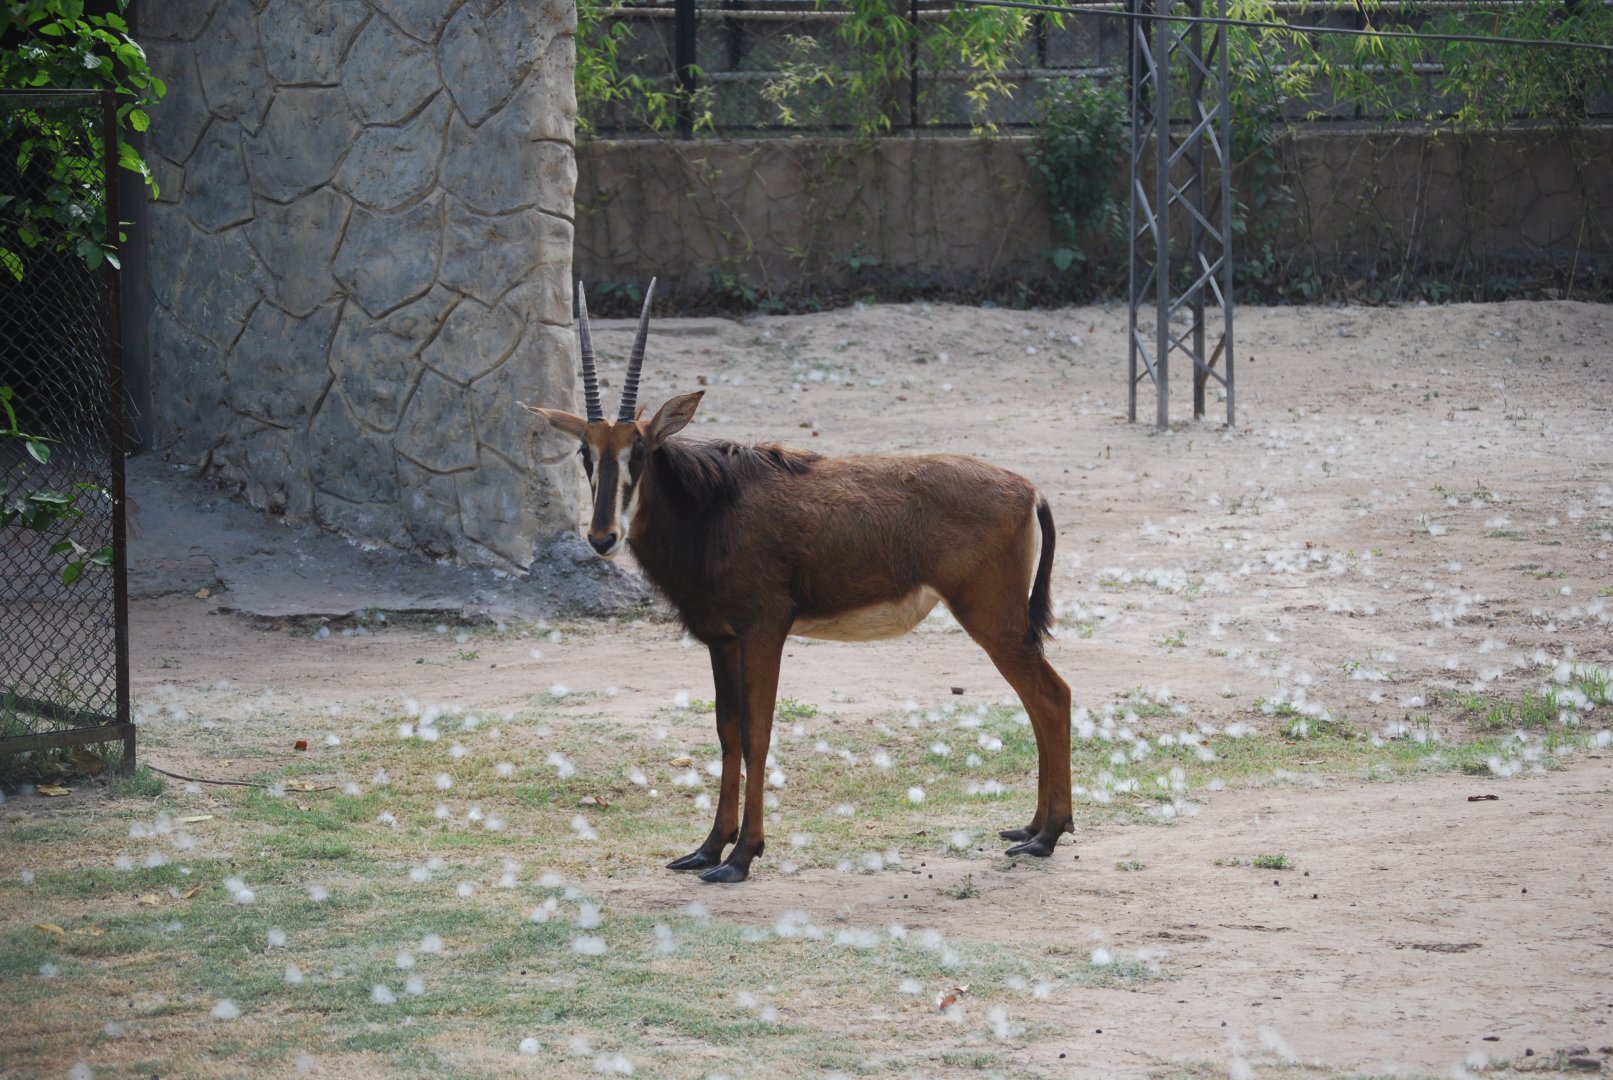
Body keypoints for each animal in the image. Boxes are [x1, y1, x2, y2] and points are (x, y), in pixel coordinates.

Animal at [523, 282, 1073, 883]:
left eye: (639, 452)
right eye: (586, 452)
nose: (602, 536)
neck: (713, 505)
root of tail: (1029, 489)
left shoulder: (765, 630)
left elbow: (757, 732)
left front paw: (742, 856)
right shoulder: (722, 640)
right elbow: (727, 733)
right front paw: (707, 848)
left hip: (992, 619)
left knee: (1051, 696)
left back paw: (1047, 836)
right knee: (1040, 700)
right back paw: (1032, 827)